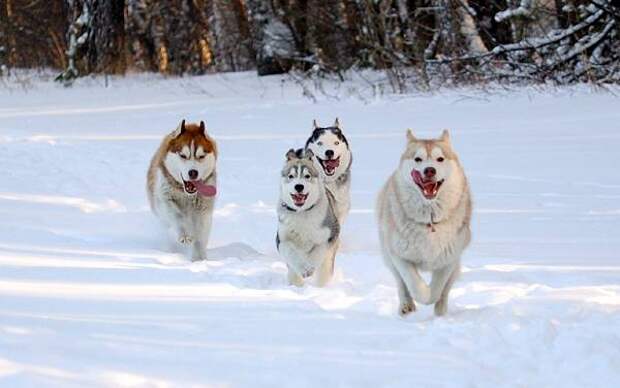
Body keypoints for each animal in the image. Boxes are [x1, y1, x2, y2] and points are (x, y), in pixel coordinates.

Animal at [148, 120, 218, 260]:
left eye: (201, 156)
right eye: (183, 155)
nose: (193, 172)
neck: (186, 195)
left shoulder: (204, 208)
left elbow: (200, 235)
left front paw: (199, 258)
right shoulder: (164, 199)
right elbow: (177, 215)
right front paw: (184, 233)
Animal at [278, 148, 342, 284]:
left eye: (307, 176)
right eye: (291, 176)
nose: (299, 186)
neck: (302, 212)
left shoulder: (329, 234)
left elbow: (318, 251)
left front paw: (309, 267)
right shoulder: (282, 239)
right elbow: (289, 250)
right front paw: (304, 269)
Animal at [376, 129, 472, 316]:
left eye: (440, 159)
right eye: (417, 159)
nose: (429, 170)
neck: (430, 219)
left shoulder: (449, 259)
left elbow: (437, 289)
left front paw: (433, 299)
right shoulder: (399, 256)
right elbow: (415, 286)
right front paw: (421, 296)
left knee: (445, 291)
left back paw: (441, 312)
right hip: (388, 256)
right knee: (401, 283)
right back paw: (406, 306)